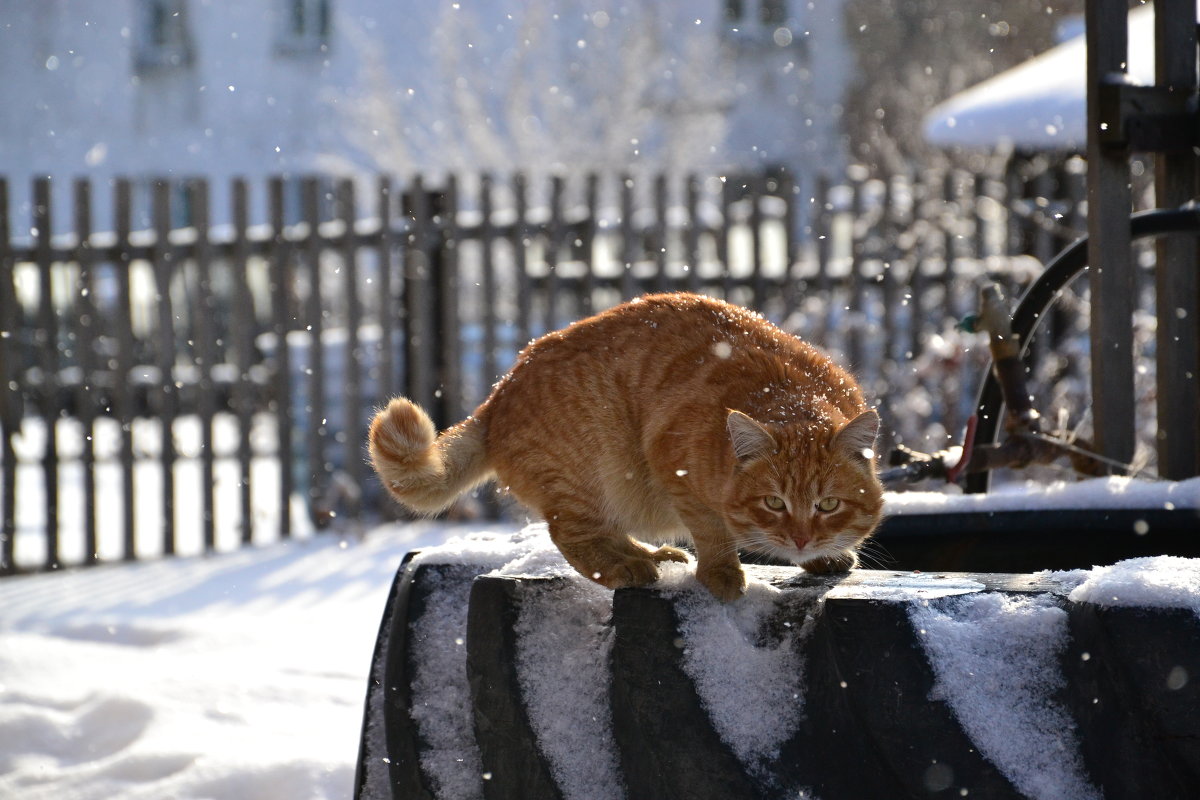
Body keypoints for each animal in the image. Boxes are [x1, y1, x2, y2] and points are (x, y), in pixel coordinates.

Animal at [369, 293, 888, 599]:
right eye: (774, 503)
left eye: (827, 504)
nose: (801, 539)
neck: (787, 396)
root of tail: (499, 392)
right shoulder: (673, 468)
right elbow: (711, 530)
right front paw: (722, 573)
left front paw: (825, 556)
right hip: (591, 473)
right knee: (571, 535)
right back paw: (627, 568)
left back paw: (649, 555)